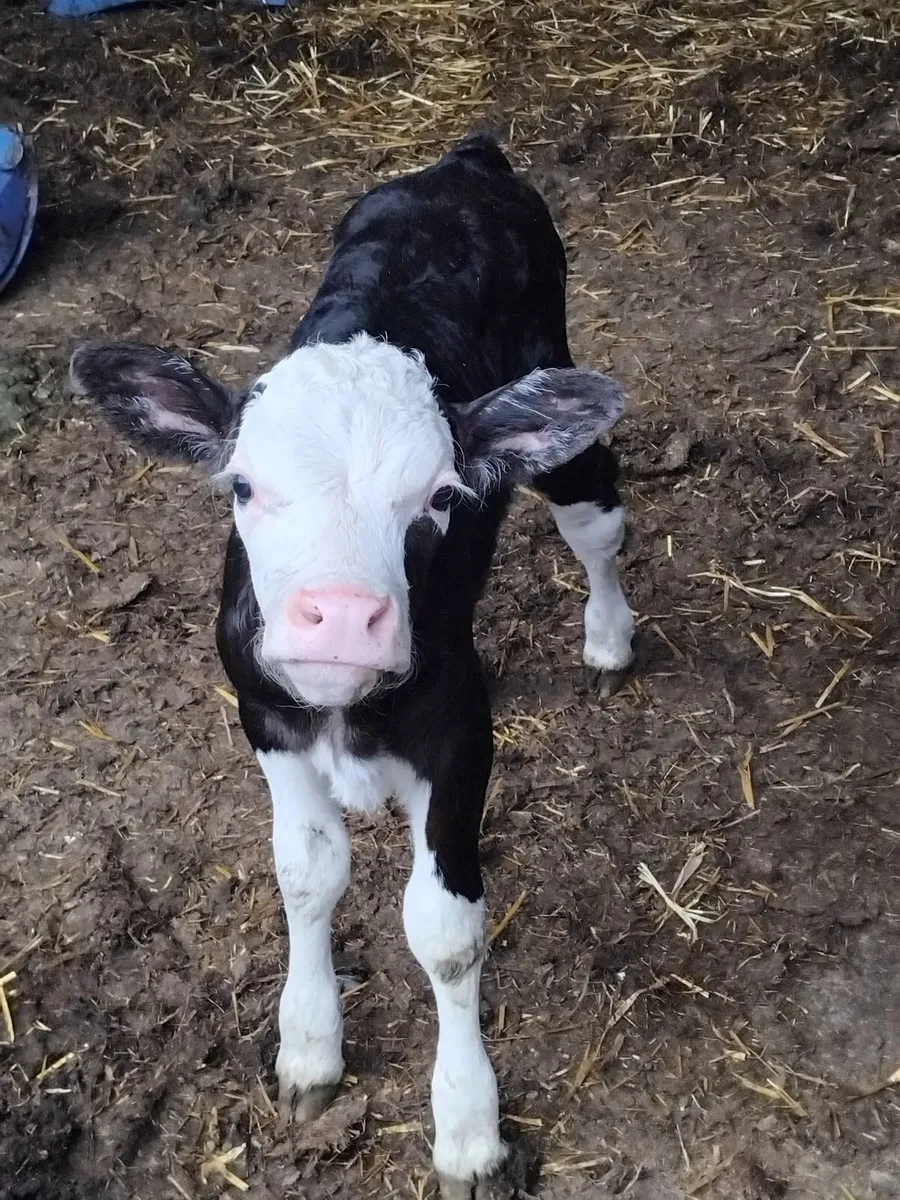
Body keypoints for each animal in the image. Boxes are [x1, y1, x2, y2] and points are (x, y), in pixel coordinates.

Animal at [70, 134, 635, 1199]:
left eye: (441, 496)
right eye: (243, 486)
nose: (338, 615)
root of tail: (465, 162)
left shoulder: (462, 734)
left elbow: (445, 934)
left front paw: (468, 1129)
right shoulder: (266, 719)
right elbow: (305, 874)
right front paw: (308, 1047)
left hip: (558, 418)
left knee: (597, 518)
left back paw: (611, 636)